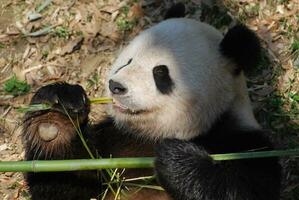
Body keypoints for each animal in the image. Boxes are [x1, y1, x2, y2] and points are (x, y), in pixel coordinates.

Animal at [22, 4, 282, 200]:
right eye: (128, 60)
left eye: (160, 73)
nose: (116, 86)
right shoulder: (114, 143)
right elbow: (65, 183)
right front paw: (55, 118)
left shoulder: (246, 145)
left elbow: (241, 189)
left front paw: (175, 159)